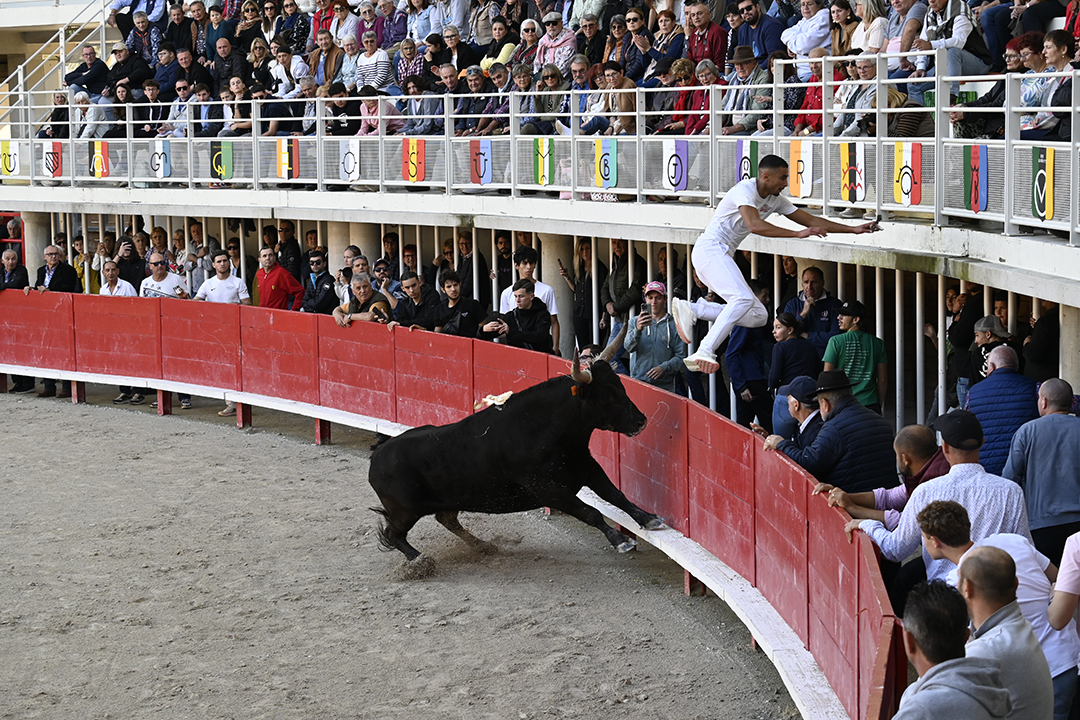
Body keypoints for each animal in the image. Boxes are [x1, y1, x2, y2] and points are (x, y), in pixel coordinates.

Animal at [367, 354, 660, 561]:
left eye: (621, 386)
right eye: (607, 396)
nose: (641, 421)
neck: (551, 427)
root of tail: (377, 456)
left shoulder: (587, 467)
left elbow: (616, 495)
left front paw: (649, 519)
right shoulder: (549, 489)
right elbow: (590, 512)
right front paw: (620, 540)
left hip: (444, 501)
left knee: (446, 519)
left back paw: (483, 546)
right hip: (405, 511)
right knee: (394, 534)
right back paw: (419, 560)